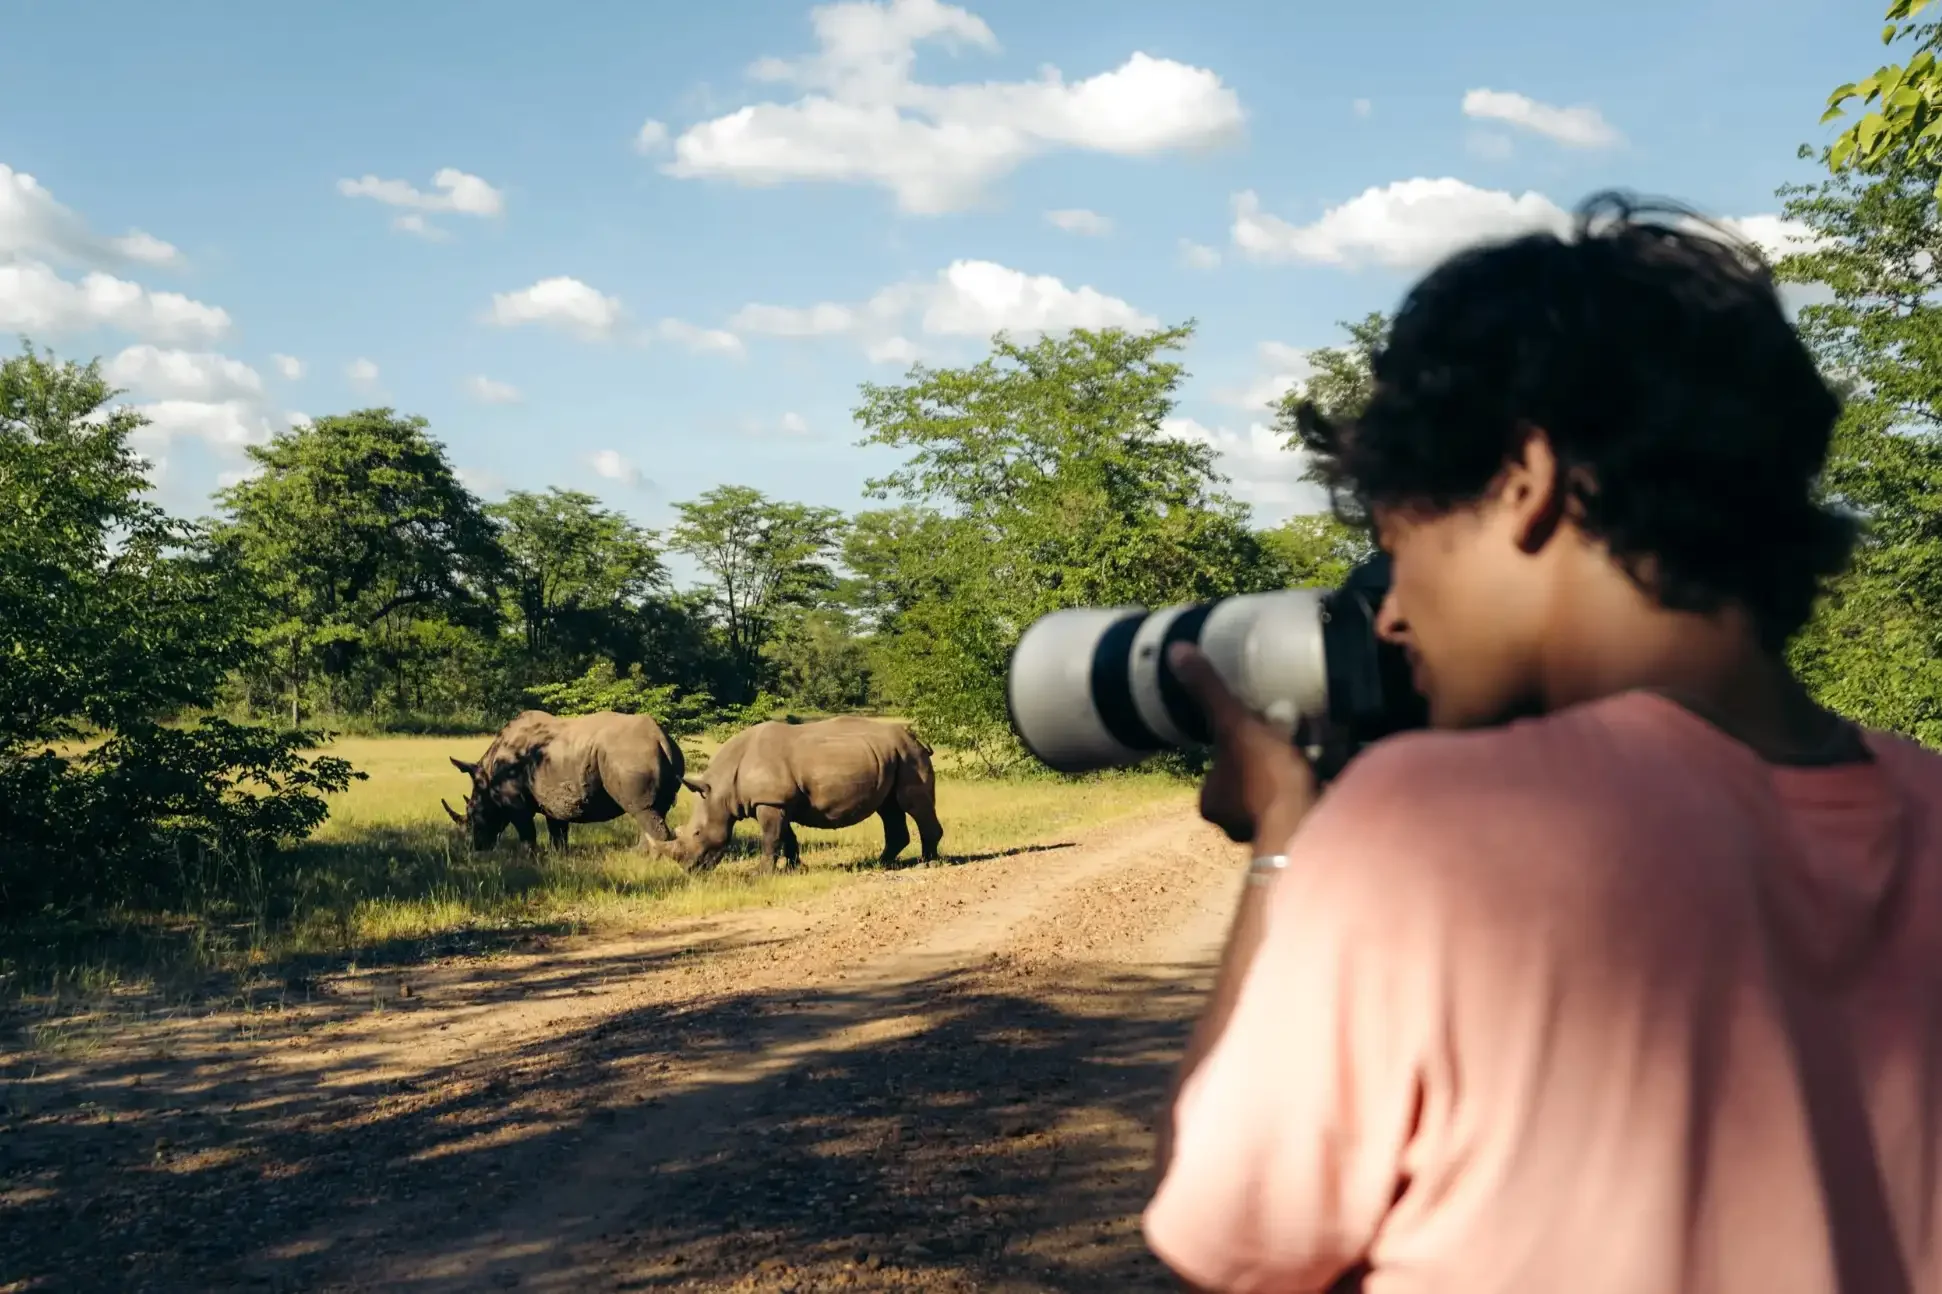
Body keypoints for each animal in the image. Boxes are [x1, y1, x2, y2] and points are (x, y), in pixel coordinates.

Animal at [443, 709, 685, 853]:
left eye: (473, 814)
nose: (474, 847)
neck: (488, 778)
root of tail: (659, 737)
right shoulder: (553, 797)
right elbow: (557, 828)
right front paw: (557, 854)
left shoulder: (514, 800)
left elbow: (525, 829)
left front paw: (529, 856)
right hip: (651, 753)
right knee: (656, 809)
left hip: (628, 755)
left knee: (642, 810)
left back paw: (641, 856)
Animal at [657, 716, 942, 872]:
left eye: (697, 833)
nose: (689, 870)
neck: (721, 788)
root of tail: (915, 737)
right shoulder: (776, 802)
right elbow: (786, 836)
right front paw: (794, 867)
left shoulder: (770, 802)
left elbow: (771, 838)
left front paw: (759, 873)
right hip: (891, 756)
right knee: (889, 808)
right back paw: (879, 863)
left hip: (908, 755)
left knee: (912, 805)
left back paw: (927, 863)